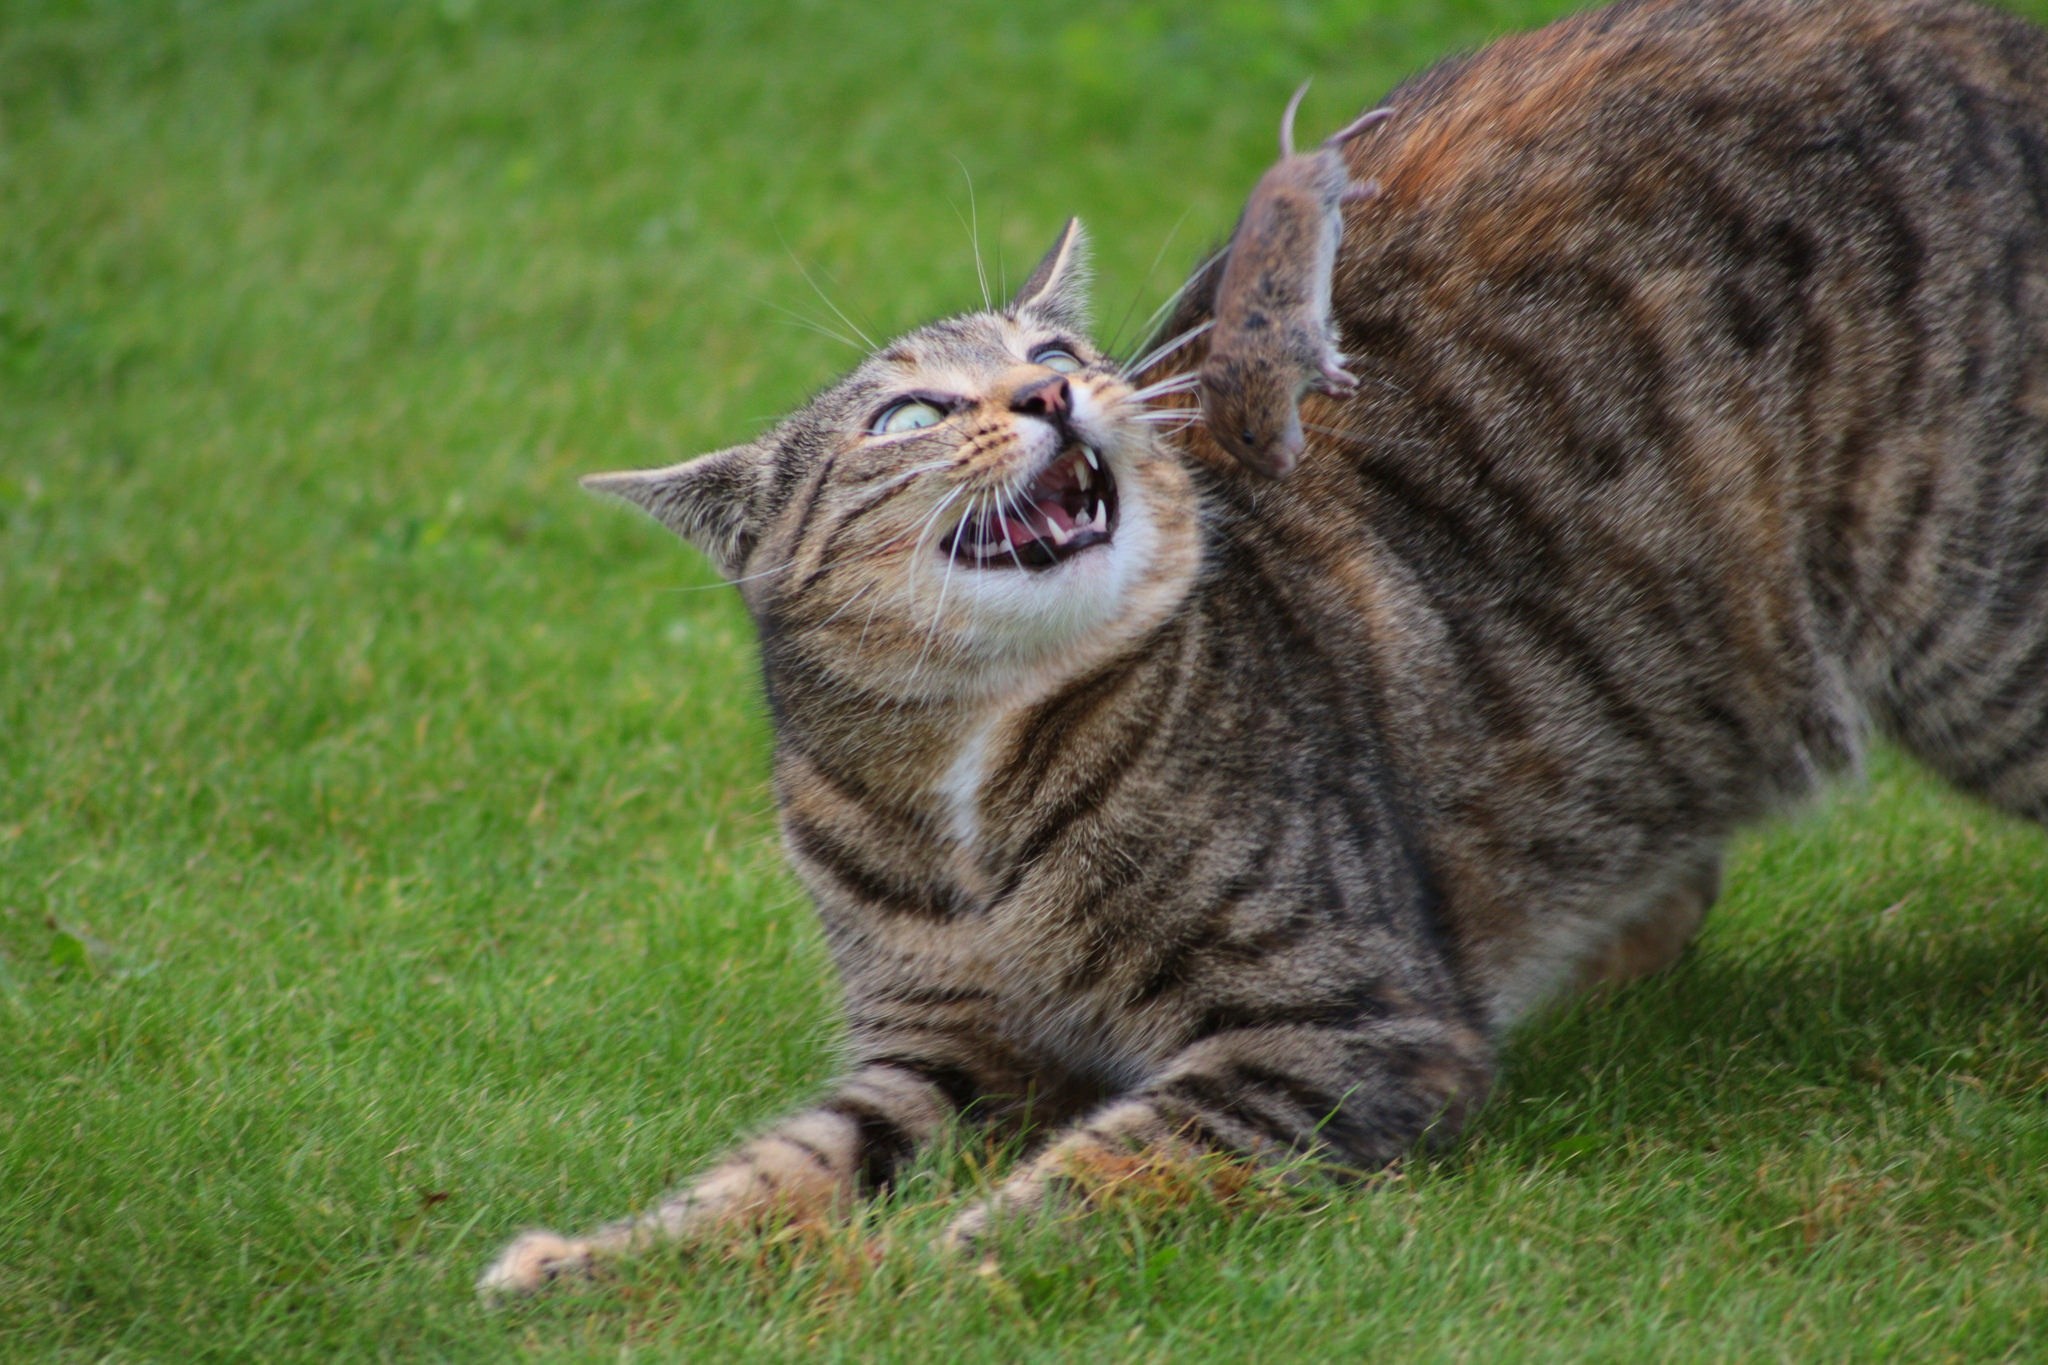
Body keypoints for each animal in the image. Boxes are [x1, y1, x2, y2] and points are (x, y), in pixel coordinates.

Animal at [475, 0, 2048, 1301]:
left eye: (1056, 347)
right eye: (908, 415)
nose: (1054, 394)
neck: (970, 789)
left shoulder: (1345, 1024)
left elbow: (1095, 1169)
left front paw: (935, 1263)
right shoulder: (937, 1051)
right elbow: (783, 1165)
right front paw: (607, 1259)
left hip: (1976, 633)